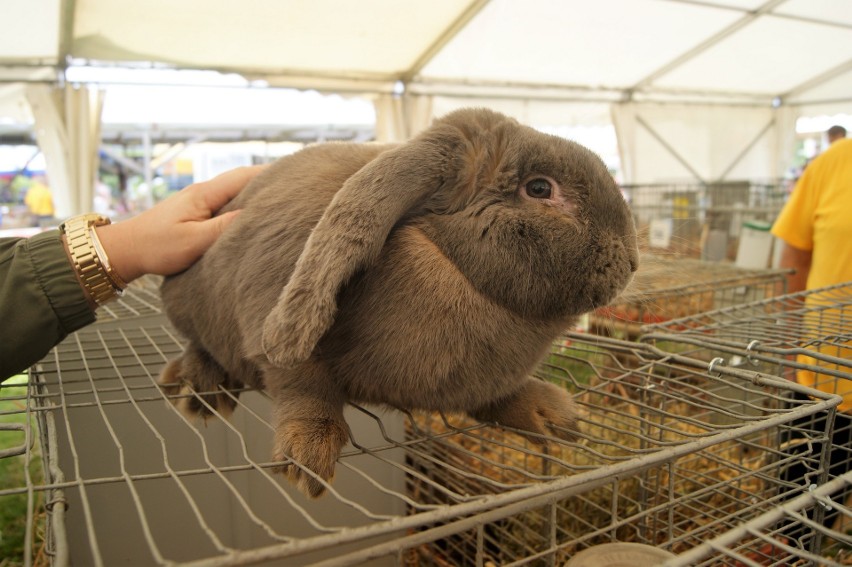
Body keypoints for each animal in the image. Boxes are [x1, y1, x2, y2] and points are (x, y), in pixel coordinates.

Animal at [158, 106, 640, 496]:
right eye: (539, 189)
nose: (633, 262)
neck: (448, 261)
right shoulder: (268, 312)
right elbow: (304, 384)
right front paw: (308, 457)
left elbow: (497, 399)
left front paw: (553, 416)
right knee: (202, 344)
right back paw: (198, 390)